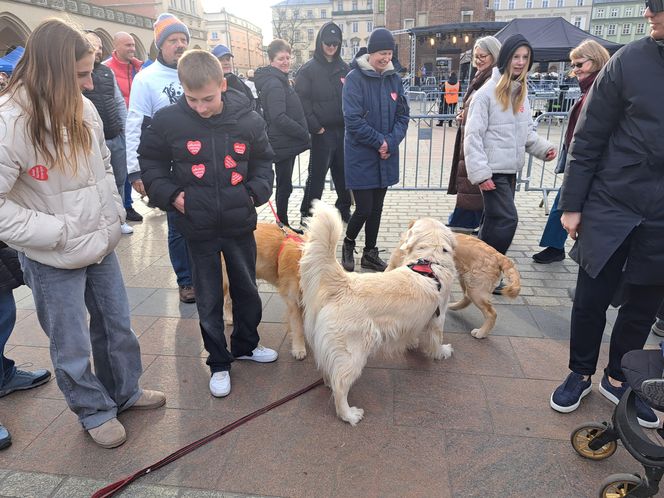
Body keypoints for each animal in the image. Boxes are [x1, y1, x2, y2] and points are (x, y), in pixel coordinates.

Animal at [300, 200, 456, 426]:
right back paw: (349, 414)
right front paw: (442, 352)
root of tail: (345, 282)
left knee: (330, 372)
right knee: (340, 385)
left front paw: (413, 344)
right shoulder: (438, 316)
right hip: (354, 352)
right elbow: (436, 339)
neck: (429, 261)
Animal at [386, 225, 520, 338]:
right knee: (467, 297)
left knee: (491, 313)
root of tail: (498, 254)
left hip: (477, 288)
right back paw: (454, 306)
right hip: (468, 281)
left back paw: (481, 332)